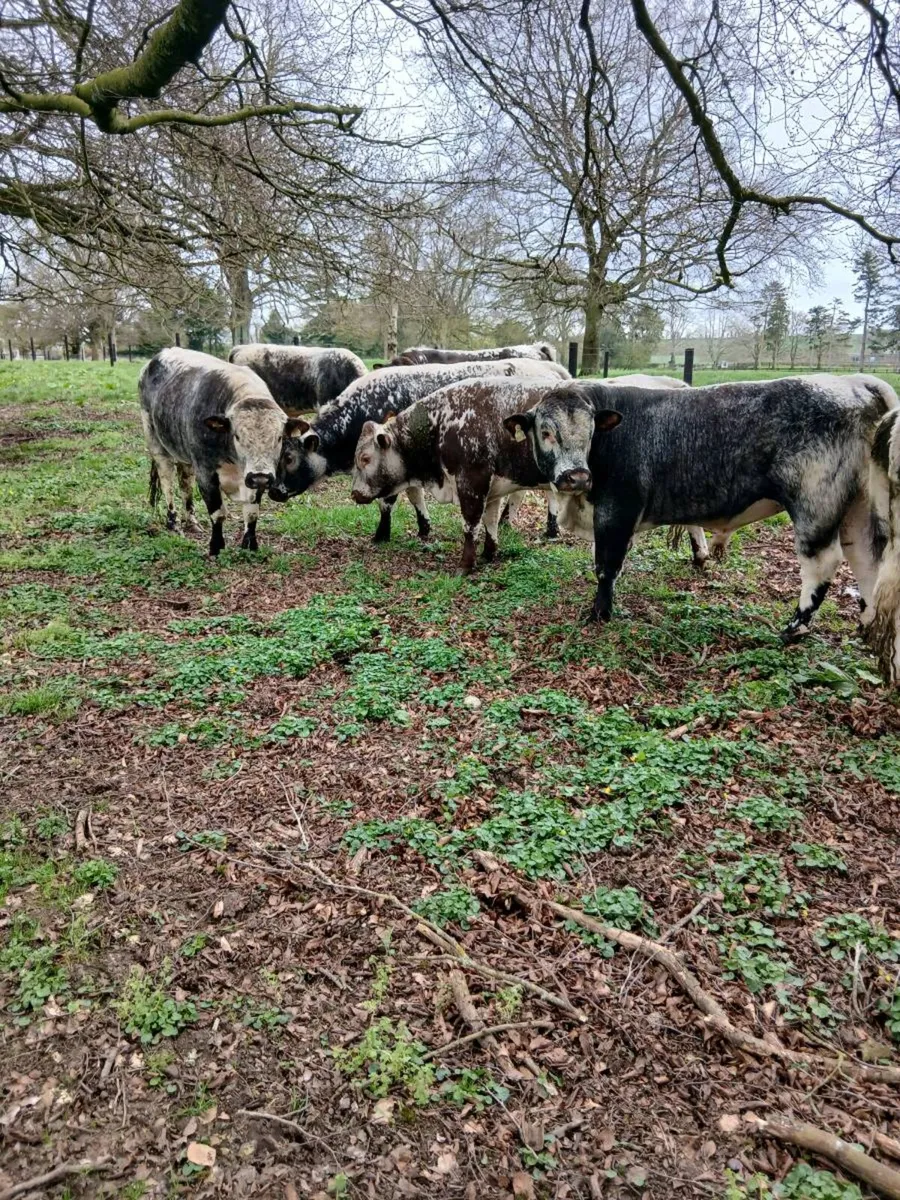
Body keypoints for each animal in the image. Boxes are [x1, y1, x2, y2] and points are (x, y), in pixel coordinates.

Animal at [140, 348, 299, 556]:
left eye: (279, 437)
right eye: (237, 436)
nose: (259, 477)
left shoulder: (256, 478)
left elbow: (252, 513)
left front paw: (250, 545)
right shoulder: (206, 474)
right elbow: (218, 513)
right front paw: (216, 546)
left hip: (185, 455)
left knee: (185, 483)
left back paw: (191, 522)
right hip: (156, 442)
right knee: (167, 482)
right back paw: (173, 524)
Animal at [270, 358, 568, 543]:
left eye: (289, 457)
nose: (273, 491)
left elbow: (387, 500)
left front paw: (381, 535)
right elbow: (414, 495)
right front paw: (424, 526)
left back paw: (551, 528)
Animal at [349, 376, 610, 572]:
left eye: (365, 458)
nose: (354, 494)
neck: (439, 424)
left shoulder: (472, 481)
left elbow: (471, 523)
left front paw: (466, 565)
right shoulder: (493, 488)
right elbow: (490, 520)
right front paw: (488, 553)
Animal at [505, 373, 898, 642]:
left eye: (589, 432)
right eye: (545, 432)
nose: (576, 476)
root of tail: (855, 382)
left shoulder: (616, 511)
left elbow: (606, 566)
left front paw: (599, 613)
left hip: (816, 505)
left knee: (823, 562)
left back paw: (793, 629)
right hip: (857, 509)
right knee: (867, 559)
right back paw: (865, 625)